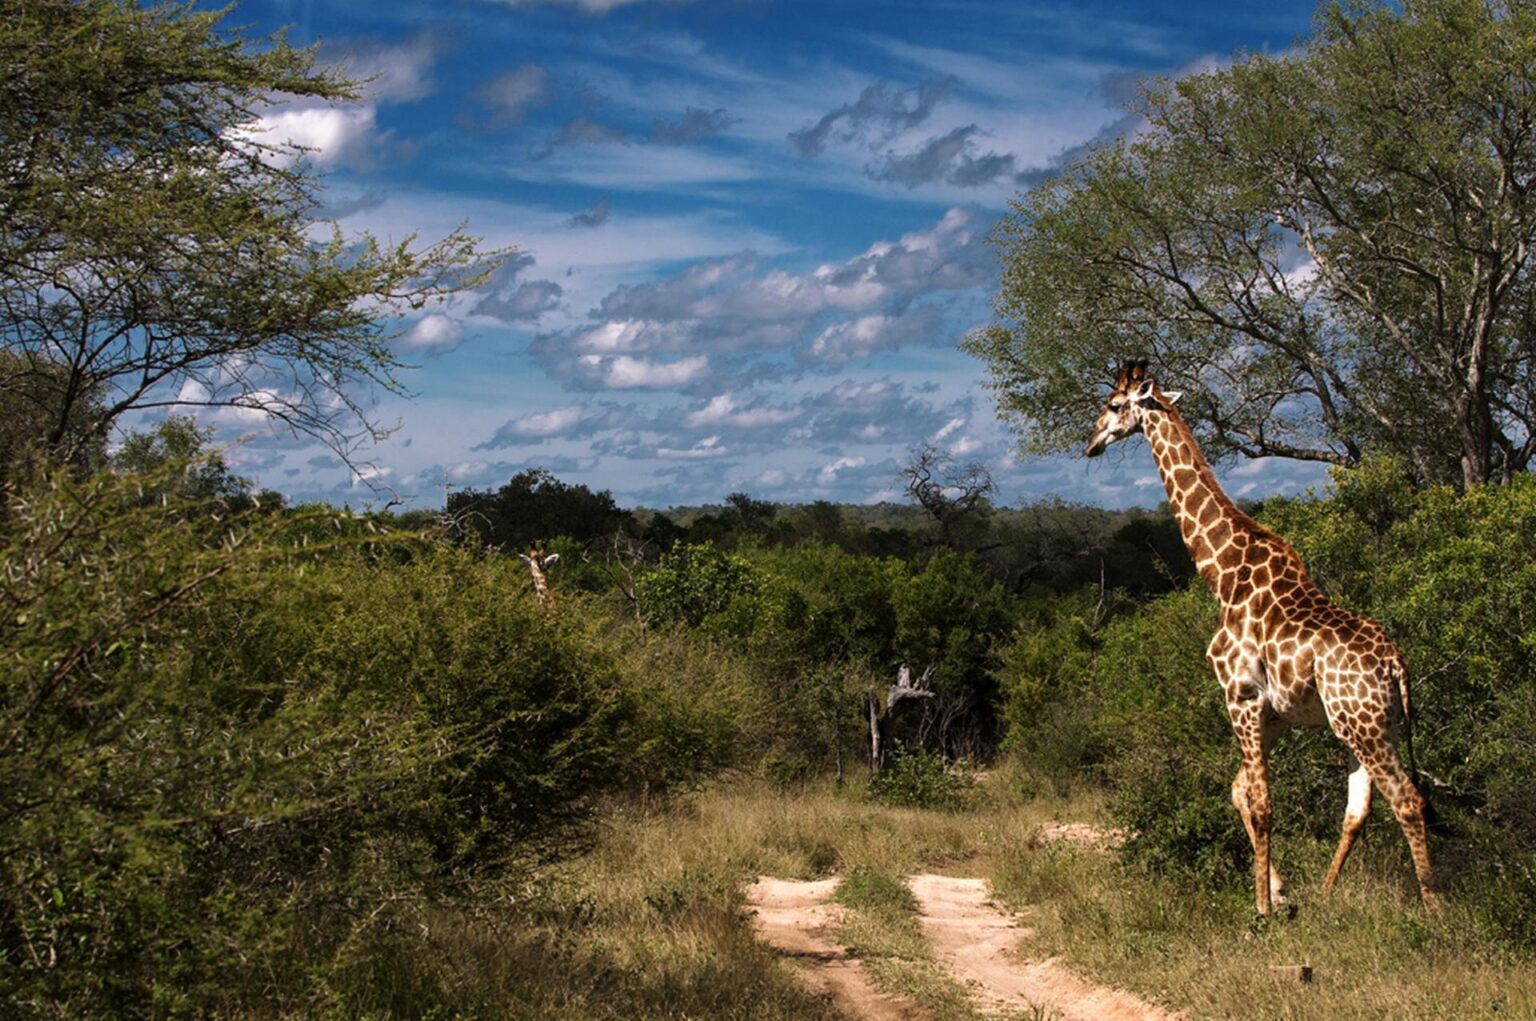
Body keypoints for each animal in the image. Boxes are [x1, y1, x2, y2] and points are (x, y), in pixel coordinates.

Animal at [1087, 360, 1431, 915]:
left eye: (1115, 406)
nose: (1092, 441)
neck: (1223, 573)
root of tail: (1396, 663)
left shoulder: (1241, 696)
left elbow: (1263, 803)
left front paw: (1263, 908)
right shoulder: (1275, 714)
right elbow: (1239, 792)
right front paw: (1281, 891)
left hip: (1365, 725)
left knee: (1406, 799)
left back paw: (1434, 908)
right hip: (1367, 725)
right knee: (1359, 808)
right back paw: (1327, 896)